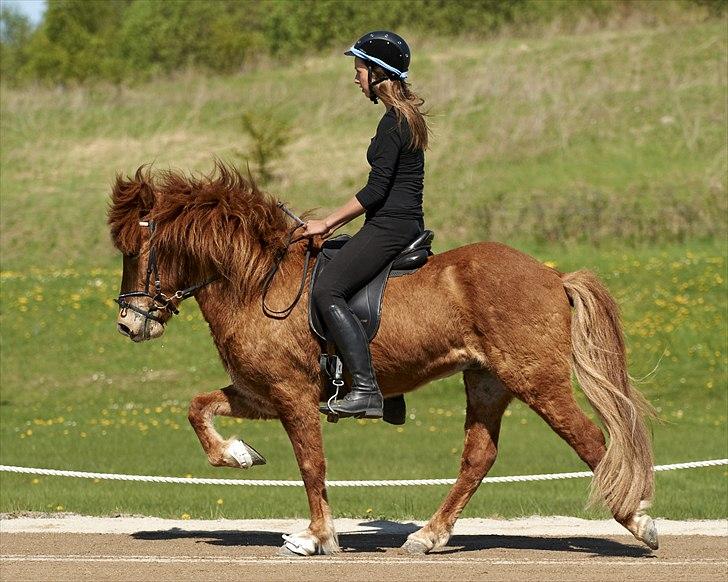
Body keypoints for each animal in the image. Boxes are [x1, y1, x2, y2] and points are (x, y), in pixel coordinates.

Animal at [109, 162, 660, 560]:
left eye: (136, 249)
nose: (130, 324)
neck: (257, 282)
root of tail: (553, 276)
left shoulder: (292, 396)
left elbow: (311, 463)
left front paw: (316, 537)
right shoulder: (262, 393)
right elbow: (197, 407)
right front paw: (239, 454)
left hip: (536, 379)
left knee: (591, 441)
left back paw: (640, 520)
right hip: (487, 381)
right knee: (478, 458)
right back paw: (428, 536)